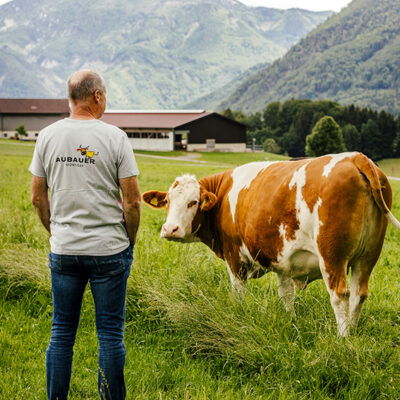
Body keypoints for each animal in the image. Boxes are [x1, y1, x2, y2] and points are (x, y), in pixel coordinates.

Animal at [142, 152, 398, 336]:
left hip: (332, 256)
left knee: (340, 294)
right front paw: (290, 319)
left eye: (193, 202)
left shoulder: (234, 255)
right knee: (358, 294)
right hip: (368, 256)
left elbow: (238, 292)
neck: (223, 195)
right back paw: (353, 332)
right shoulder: (283, 260)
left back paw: (342, 338)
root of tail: (355, 157)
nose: (170, 229)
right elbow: (286, 294)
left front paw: (239, 316)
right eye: (167, 201)